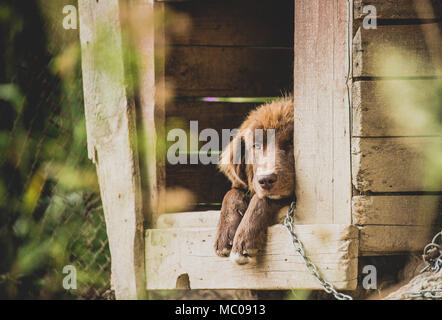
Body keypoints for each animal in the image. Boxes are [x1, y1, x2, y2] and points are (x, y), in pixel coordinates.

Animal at [215, 97, 296, 264]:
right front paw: (225, 233)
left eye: (291, 142)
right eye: (256, 146)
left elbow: (261, 199)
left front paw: (244, 238)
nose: (266, 180)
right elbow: (231, 192)